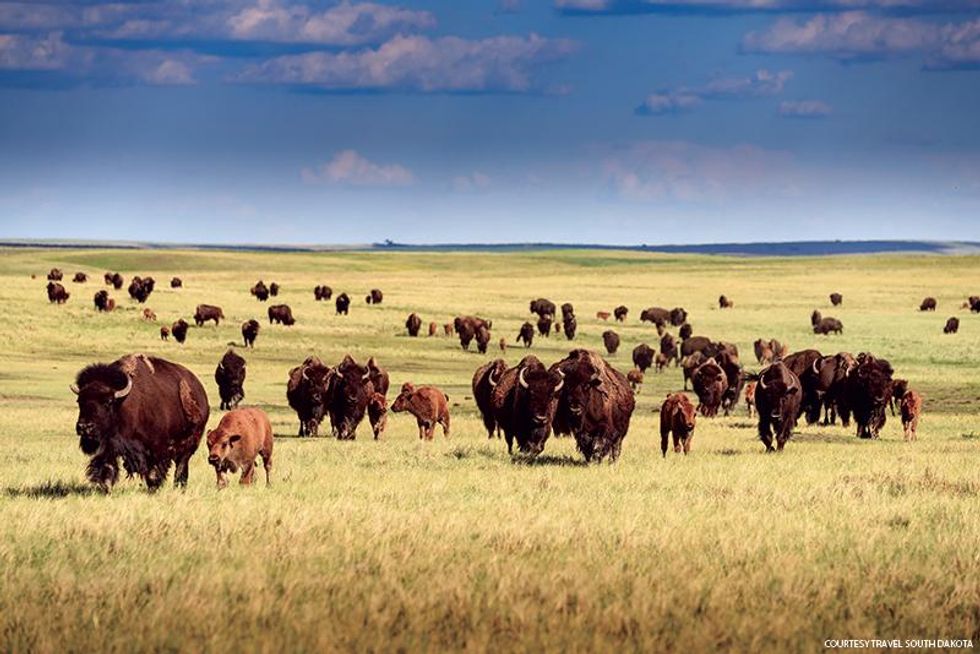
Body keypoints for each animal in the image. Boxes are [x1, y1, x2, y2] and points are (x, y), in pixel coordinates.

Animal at [71, 353, 209, 491]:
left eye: (108, 401)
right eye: (79, 401)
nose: (84, 427)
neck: (121, 404)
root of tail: (201, 393)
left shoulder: (157, 449)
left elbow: (153, 473)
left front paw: (153, 488)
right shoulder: (110, 446)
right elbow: (107, 467)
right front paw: (105, 488)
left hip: (189, 446)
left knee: (181, 466)